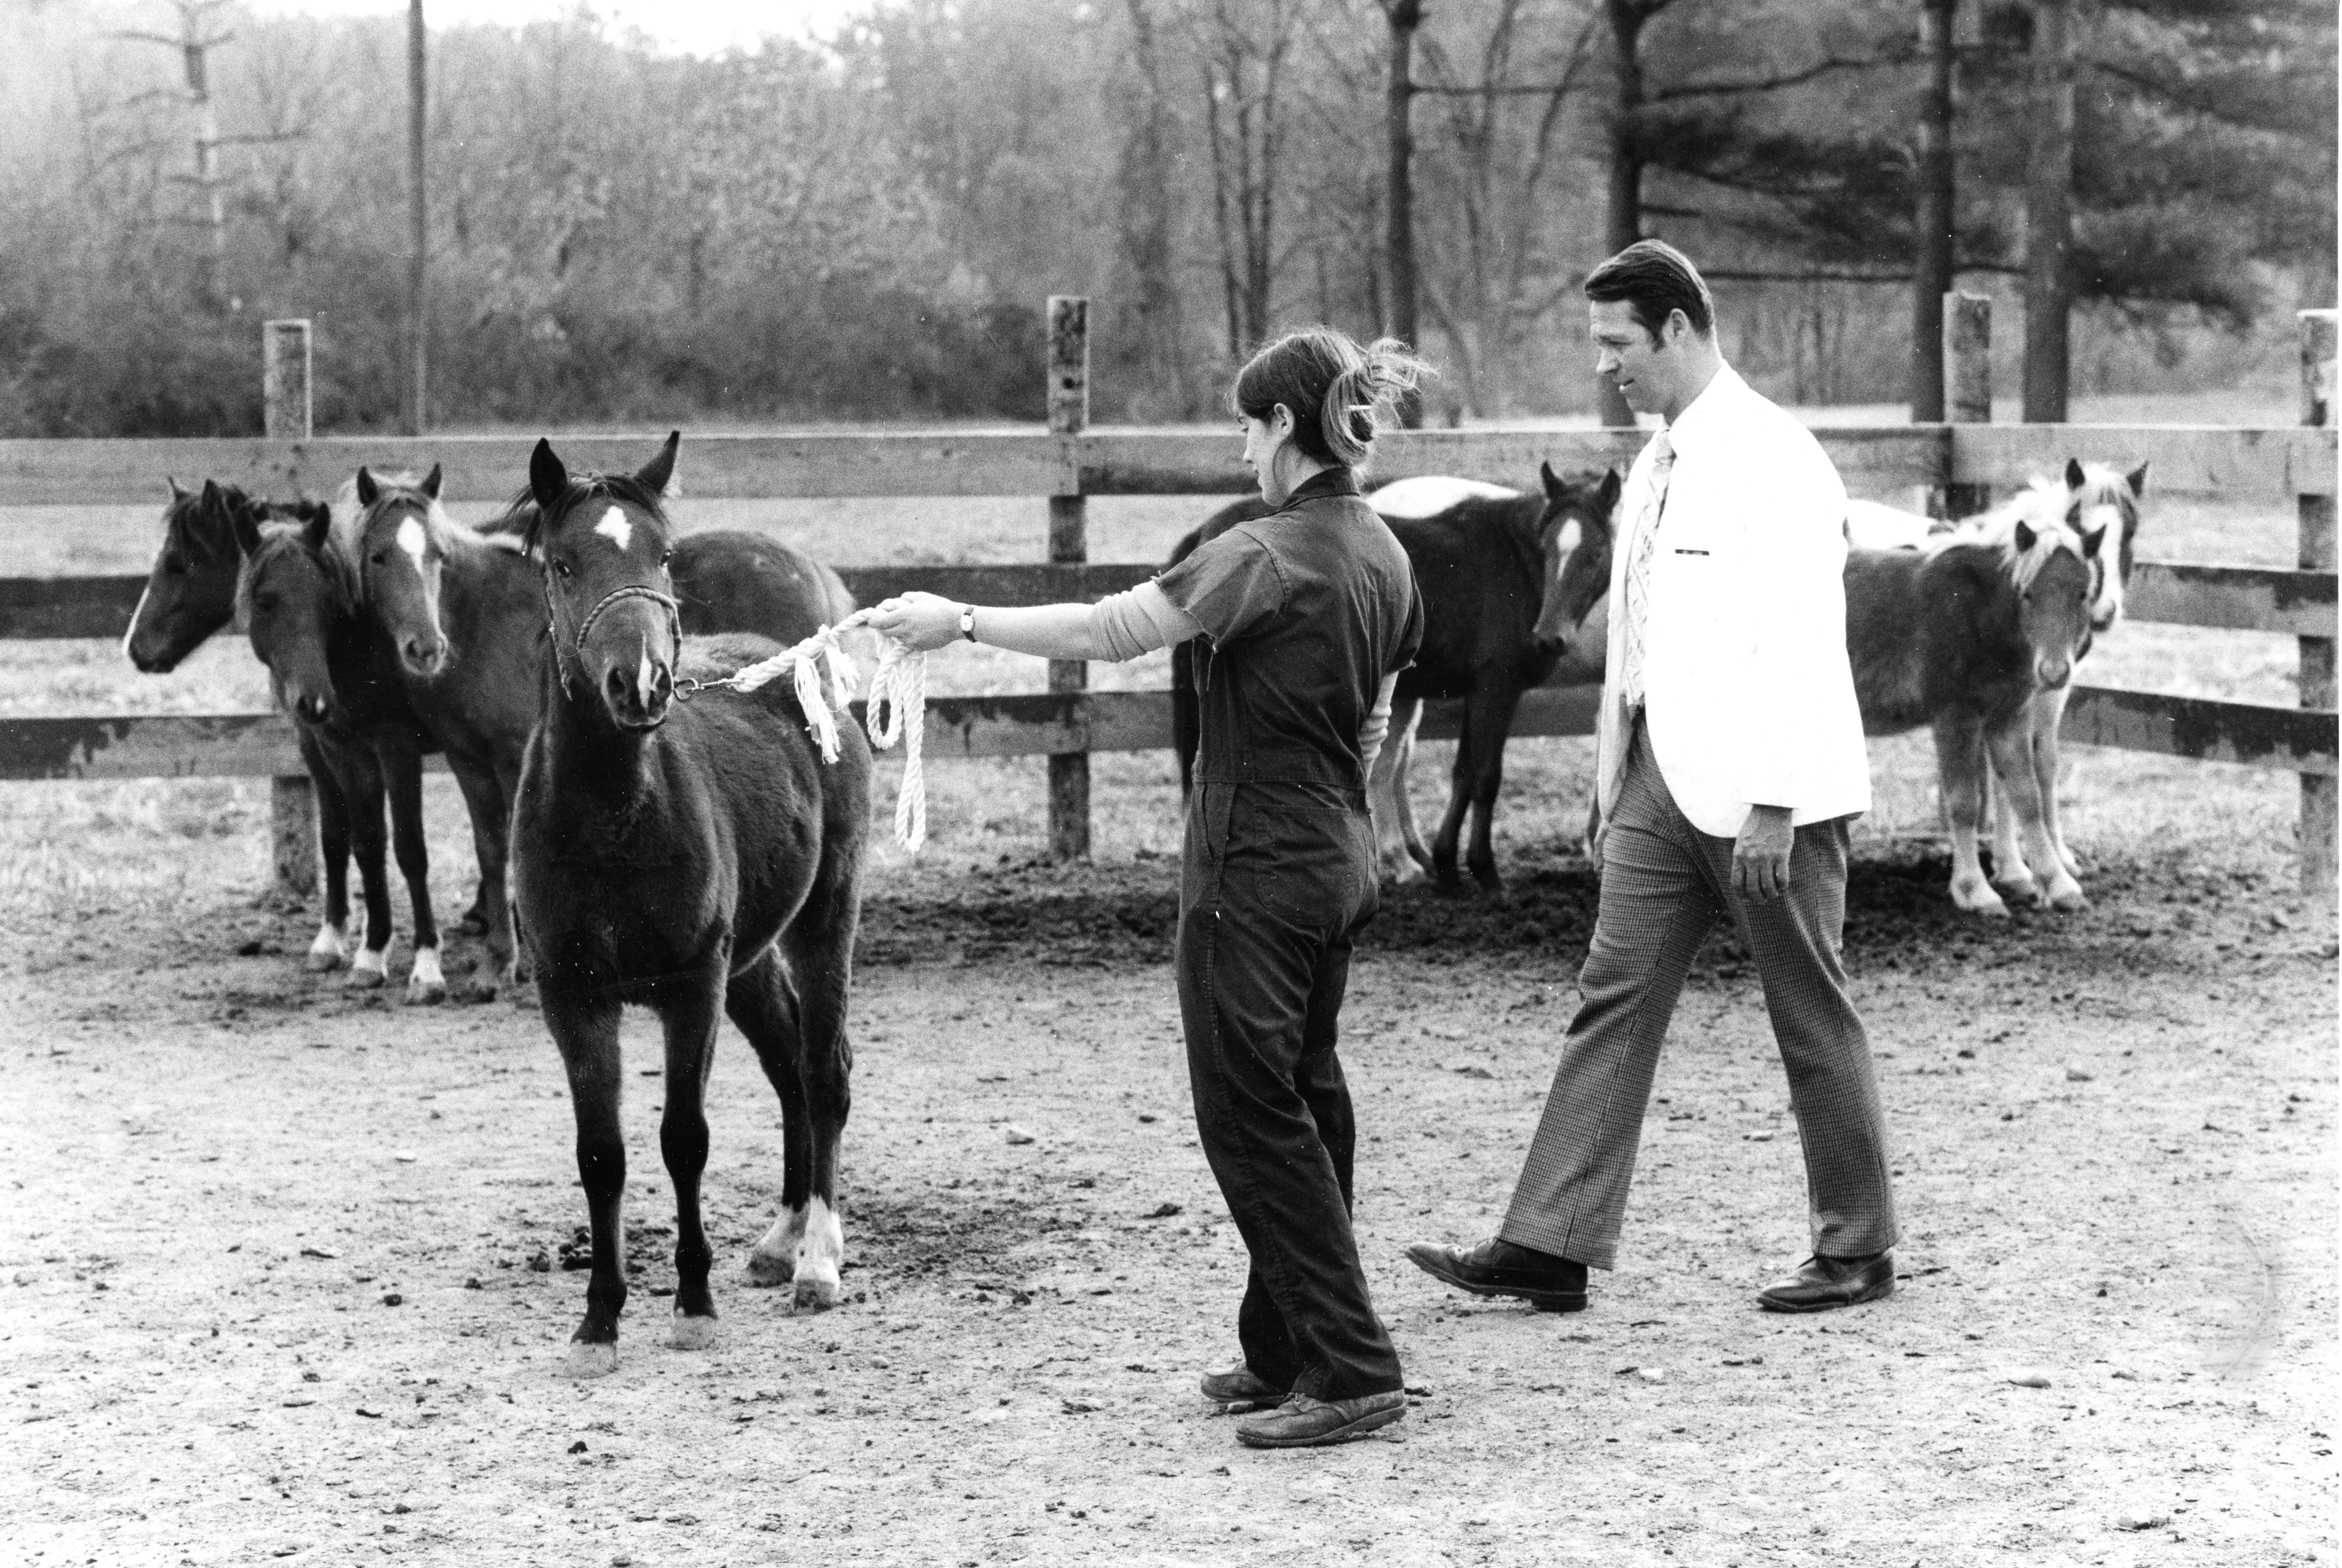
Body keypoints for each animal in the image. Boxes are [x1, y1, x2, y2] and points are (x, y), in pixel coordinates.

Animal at [511, 433, 871, 1378]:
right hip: (747, 961)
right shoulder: (572, 994)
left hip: (824, 916)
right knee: (786, 1063)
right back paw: (781, 1238)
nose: (640, 683)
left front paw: (693, 1306)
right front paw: (598, 1321)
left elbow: (684, 1137)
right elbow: (601, 1152)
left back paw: (817, 1260)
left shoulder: (688, 985)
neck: (610, 822)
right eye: (563, 564)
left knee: (822, 1068)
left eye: (663, 556)